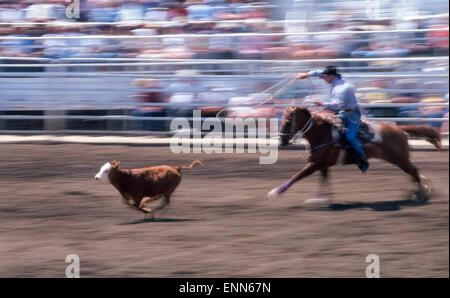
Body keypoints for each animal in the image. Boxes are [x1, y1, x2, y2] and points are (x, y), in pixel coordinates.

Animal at [268, 106, 442, 204]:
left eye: (288, 121)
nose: (282, 141)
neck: (324, 134)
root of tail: (399, 129)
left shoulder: (314, 164)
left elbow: (297, 176)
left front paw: (275, 192)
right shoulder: (321, 164)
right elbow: (324, 180)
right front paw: (321, 199)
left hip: (400, 159)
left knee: (414, 171)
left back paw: (422, 192)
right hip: (400, 160)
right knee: (413, 173)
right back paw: (421, 189)